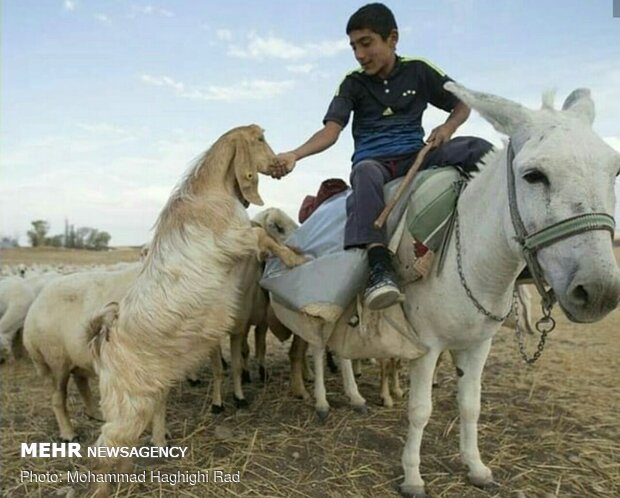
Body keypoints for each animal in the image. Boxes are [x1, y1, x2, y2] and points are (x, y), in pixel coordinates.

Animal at [86, 125, 306, 498]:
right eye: (260, 139)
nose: (280, 163)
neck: (208, 192)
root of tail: (108, 337)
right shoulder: (235, 238)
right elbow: (262, 236)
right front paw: (295, 258)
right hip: (127, 404)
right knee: (106, 446)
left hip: (153, 389)